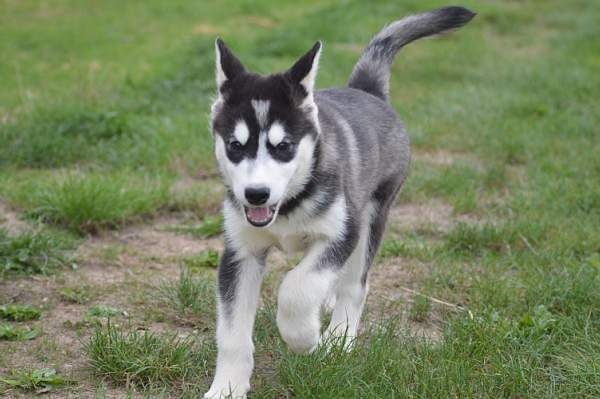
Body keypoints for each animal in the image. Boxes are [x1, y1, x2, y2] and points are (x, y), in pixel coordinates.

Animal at [204, 5, 476, 396]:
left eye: (283, 147)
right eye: (234, 146)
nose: (256, 194)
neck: (288, 206)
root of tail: (366, 91)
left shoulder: (343, 232)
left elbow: (297, 288)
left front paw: (304, 337)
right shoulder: (240, 252)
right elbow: (232, 332)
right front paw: (227, 386)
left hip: (373, 216)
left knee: (354, 285)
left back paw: (339, 336)